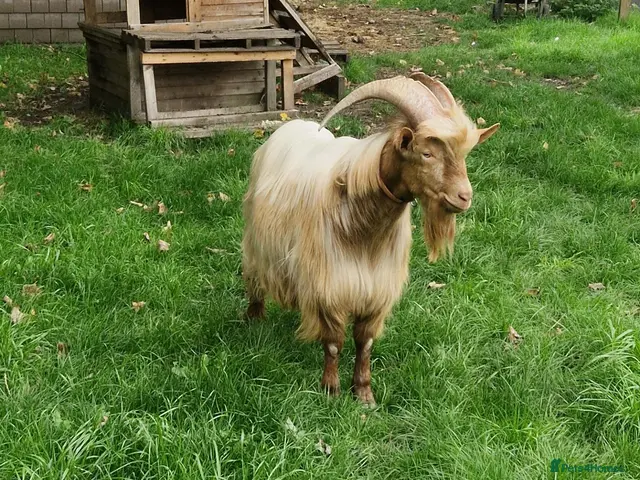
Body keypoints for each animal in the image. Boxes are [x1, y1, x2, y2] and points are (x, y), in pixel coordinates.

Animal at [241, 73, 499, 405]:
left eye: (464, 155)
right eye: (426, 153)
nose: (464, 197)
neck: (364, 230)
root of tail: (291, 124)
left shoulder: (376, 290)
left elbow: (364, 343)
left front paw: (364, 393)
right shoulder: (331, 285)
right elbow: (334, 342)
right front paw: (331, 390)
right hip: (256, 240)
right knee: (254, 275)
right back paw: (254, 317)